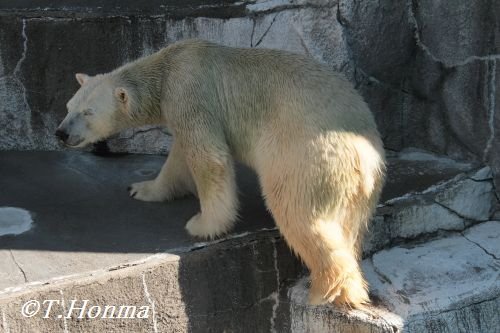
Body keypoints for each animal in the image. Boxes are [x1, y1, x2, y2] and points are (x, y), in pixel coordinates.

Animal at [57, 39, 386, 308]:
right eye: (69, 106)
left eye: (88, 112)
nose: (61, 133)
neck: (165, 69)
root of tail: (366, 154)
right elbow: (178, 157)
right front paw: (143, 189)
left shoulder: (188, 92)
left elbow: (208, 158)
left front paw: (203, 225)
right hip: (360, 187)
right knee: (348, 225)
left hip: (304, 157)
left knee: (298, 212)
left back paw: (328, 291)